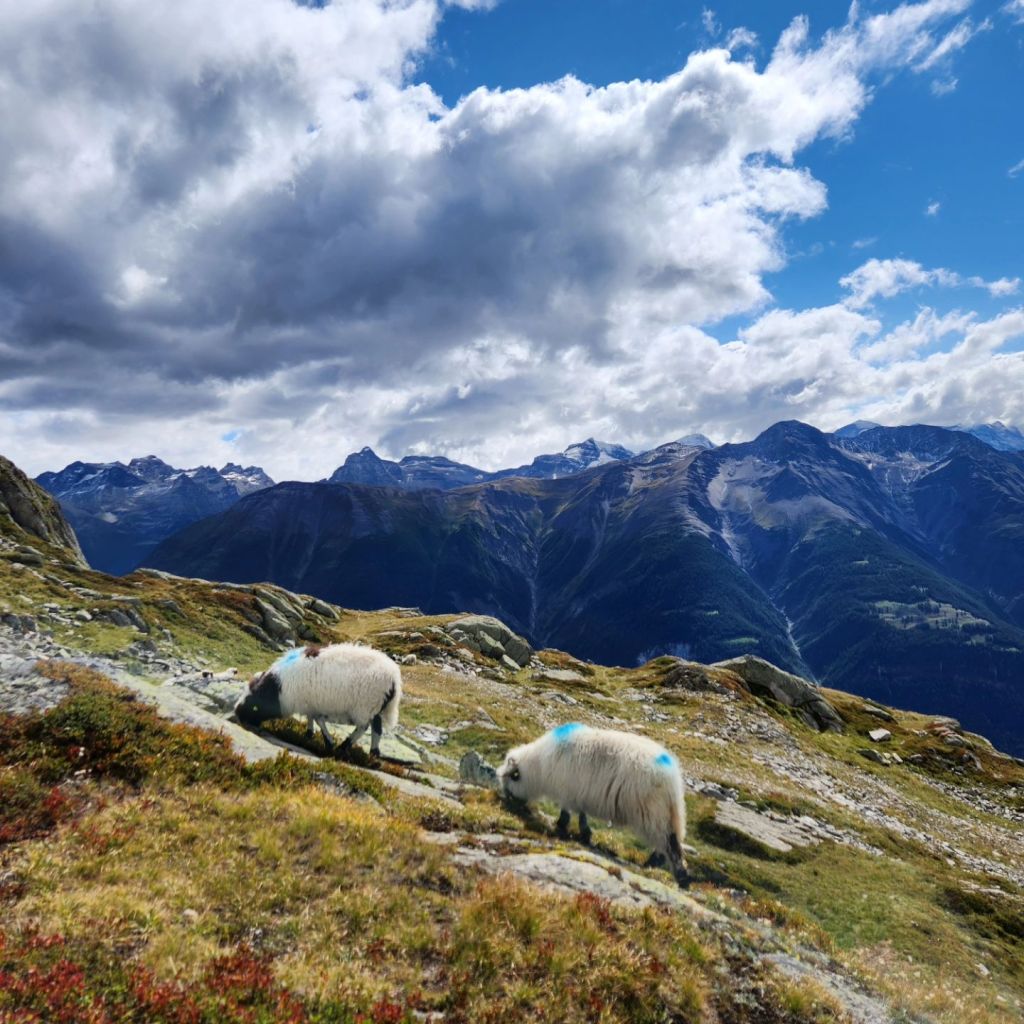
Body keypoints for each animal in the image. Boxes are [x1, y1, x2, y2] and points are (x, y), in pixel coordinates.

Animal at [233, 643, 401, 757]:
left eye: (254, 706)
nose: (237, 715)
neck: (279, 688)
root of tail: (394, 678)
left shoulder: (311, 703)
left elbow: (318, 720)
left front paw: (328, 742)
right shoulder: (310, 702)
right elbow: (311, 718)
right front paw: (309, 734)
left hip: (365, 706)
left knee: (364, 727)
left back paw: (344, 746)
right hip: (374, 707)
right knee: (376, 728)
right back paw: (373, 752)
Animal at [497, 723, 690, 887]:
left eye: (512, 777)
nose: (508, 801)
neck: (539, 766)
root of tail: (671, 778)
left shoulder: (567, 791)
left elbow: (566, 812)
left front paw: (562, 827)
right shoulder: (580, 795)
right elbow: (582, 815)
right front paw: (585, 834)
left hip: (652, 811)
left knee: (669, 842)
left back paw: (676, 875)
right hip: (665, 812)